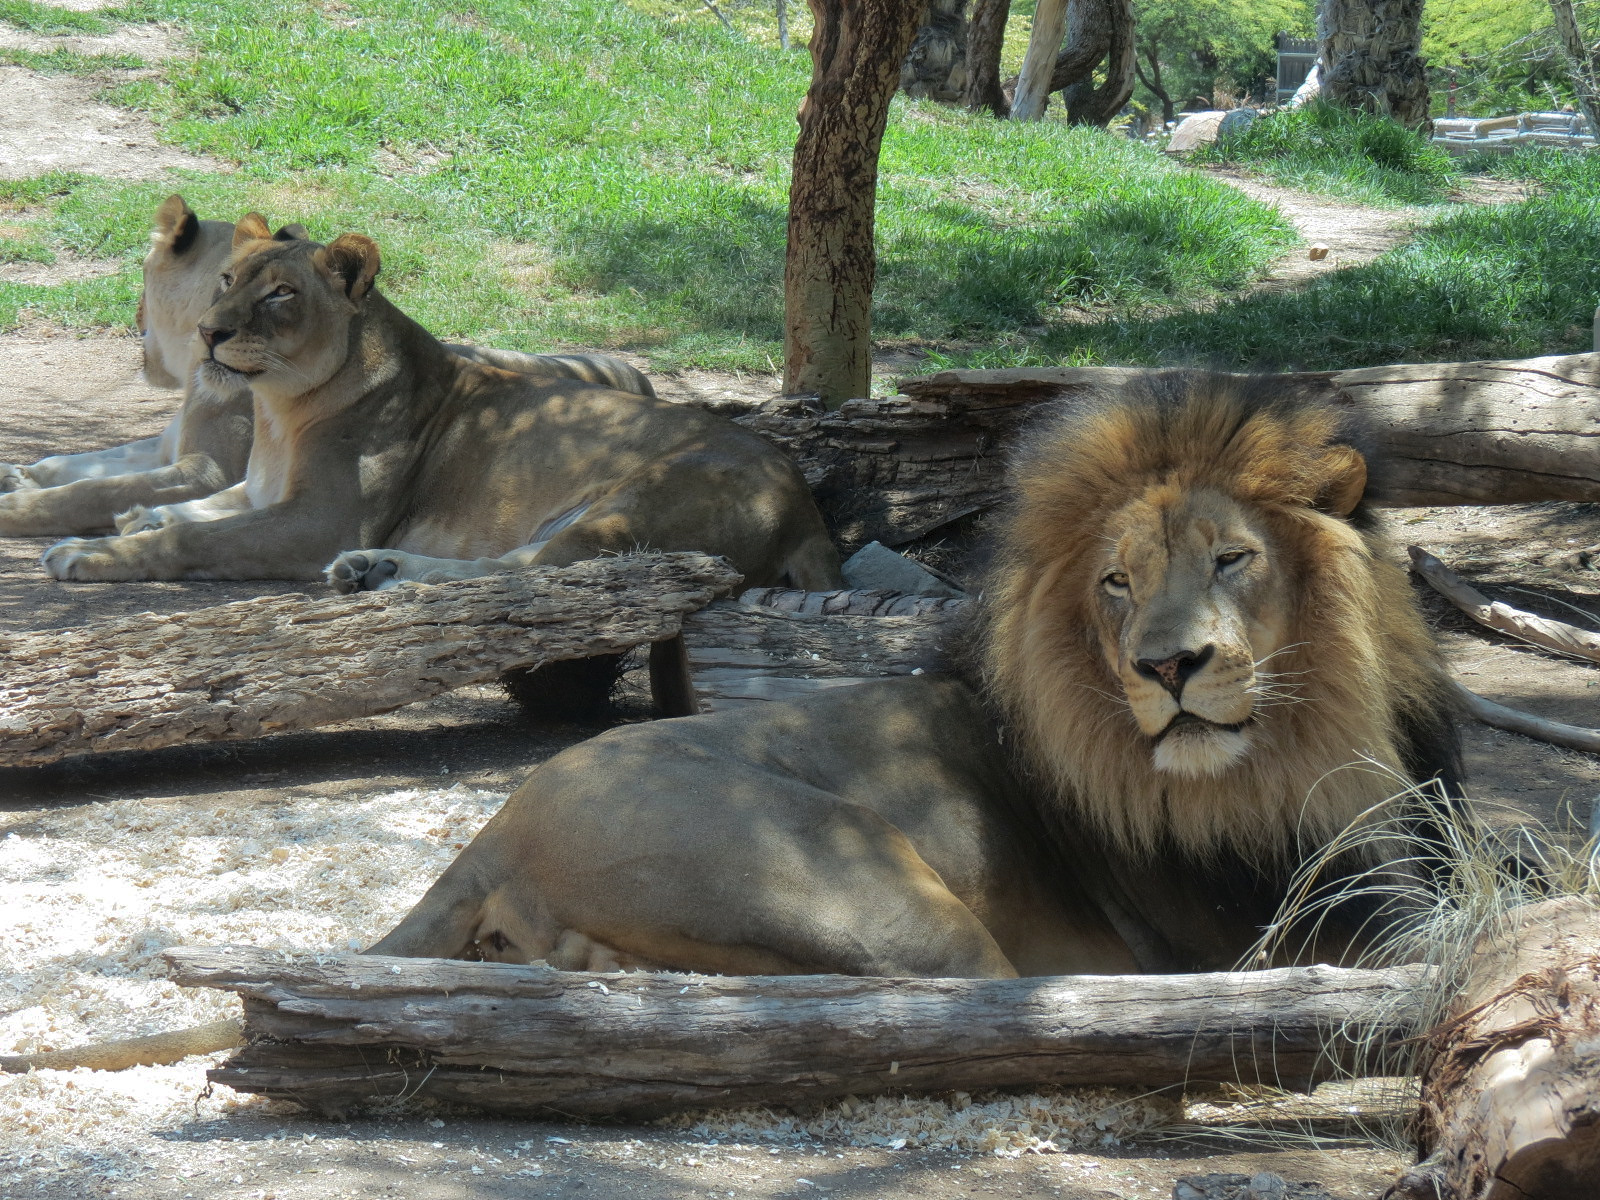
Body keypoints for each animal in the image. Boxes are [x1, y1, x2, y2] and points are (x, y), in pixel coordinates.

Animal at [0, 196, 658, 539]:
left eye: (277, 295)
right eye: (227, 280)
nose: (211, 332)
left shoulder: (209, 468)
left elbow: (93, 490)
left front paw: (20, 507)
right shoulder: (169, 448)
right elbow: (84, 462)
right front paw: (20, 474)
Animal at [38, 214, 841, 594]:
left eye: (280, 295)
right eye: (227, 279)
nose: (209, 332)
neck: (277, 414)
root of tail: (805, 508)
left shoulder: (320, 523)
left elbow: (199, 539)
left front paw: (92, 548)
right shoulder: (268, 492)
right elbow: (209, 504)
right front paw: (144, 512)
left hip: (633, 505)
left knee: (534, 573)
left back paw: (378, 571)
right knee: (517, 561)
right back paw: (377, 570)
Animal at [371, 372, 1462, 977]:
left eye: (1232, 559)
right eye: (1116, 582)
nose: (1168, 665)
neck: (1307, 747)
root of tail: (494, 834)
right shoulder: (1264, 929)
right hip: (871, 890)